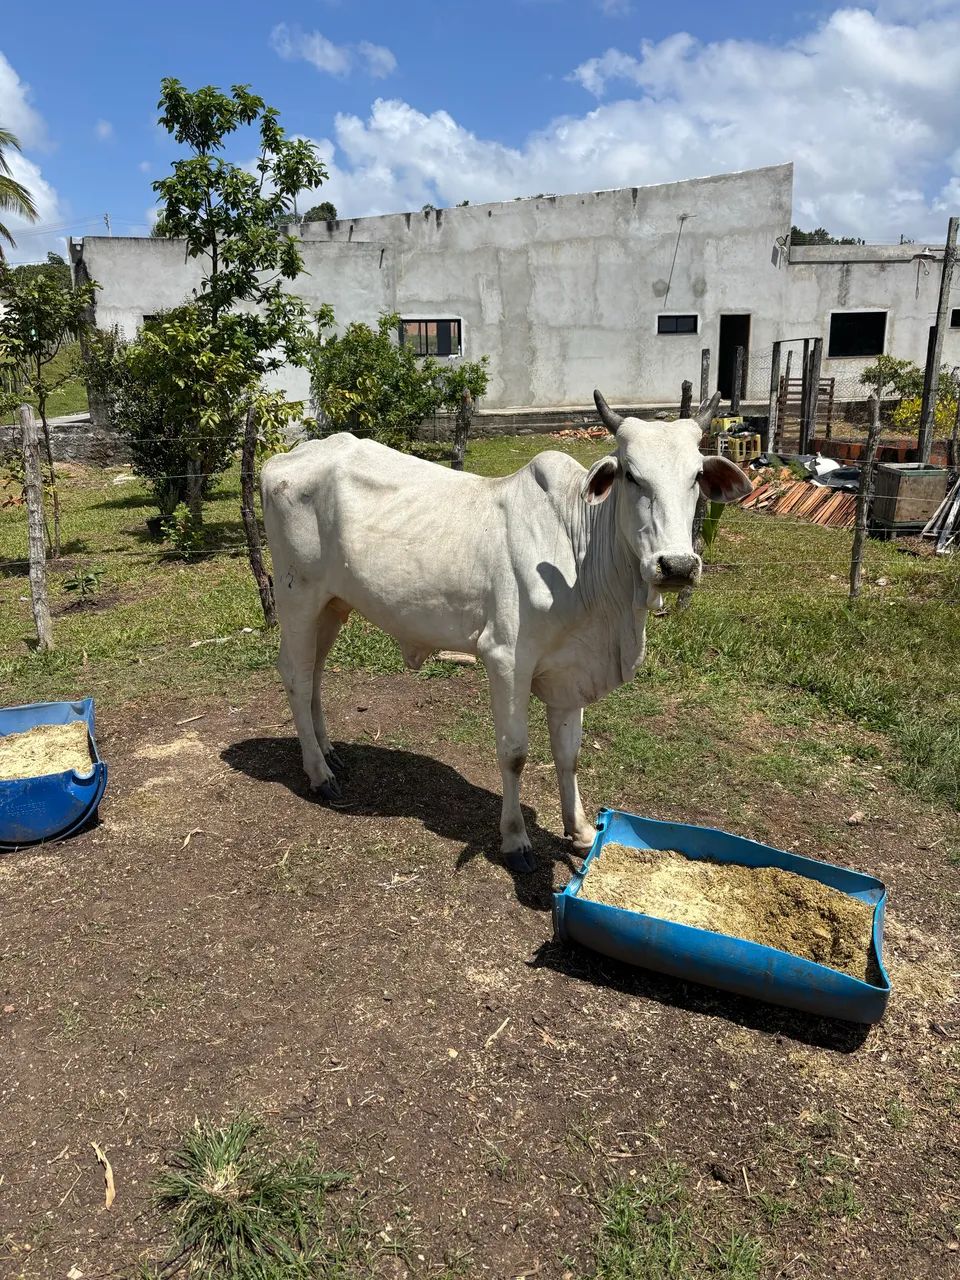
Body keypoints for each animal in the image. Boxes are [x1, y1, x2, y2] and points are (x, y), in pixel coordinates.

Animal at [261, 389, 751, 872]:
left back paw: (329, 752)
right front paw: (515, 839)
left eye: (695, 476)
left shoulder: (570, 670)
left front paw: (580, 831)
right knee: (296, 676)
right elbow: (514, 753)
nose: (677, 565)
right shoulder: (506, 659)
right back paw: (319, 773)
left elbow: (569, 753)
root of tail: (286, 458)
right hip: (297, 597)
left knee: (315, 675)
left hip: (332, 606)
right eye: (631, 475)